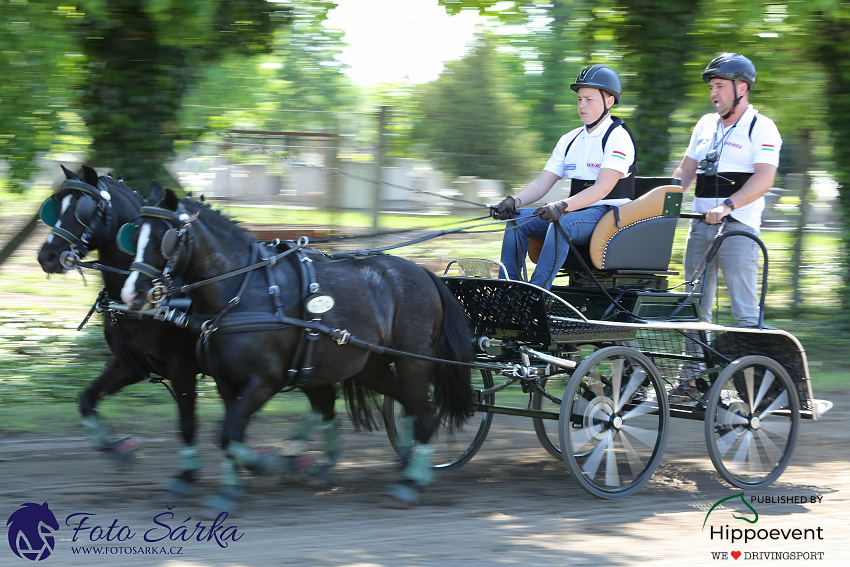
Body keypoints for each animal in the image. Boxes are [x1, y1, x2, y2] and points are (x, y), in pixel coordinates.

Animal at [120, 187, 474, 510]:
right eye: (133, 235)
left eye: (163, 238)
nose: (130, 295)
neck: (244, 291)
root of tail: (425, 273)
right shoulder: (226, 382)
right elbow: (230, 433)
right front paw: (233, 487)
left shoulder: (264, 382)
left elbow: (229, 432)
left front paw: (260, 466)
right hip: (370, 367)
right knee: (405, 405)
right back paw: (405, 465)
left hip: (414, 362)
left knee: (425, 414)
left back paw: (411, 481)